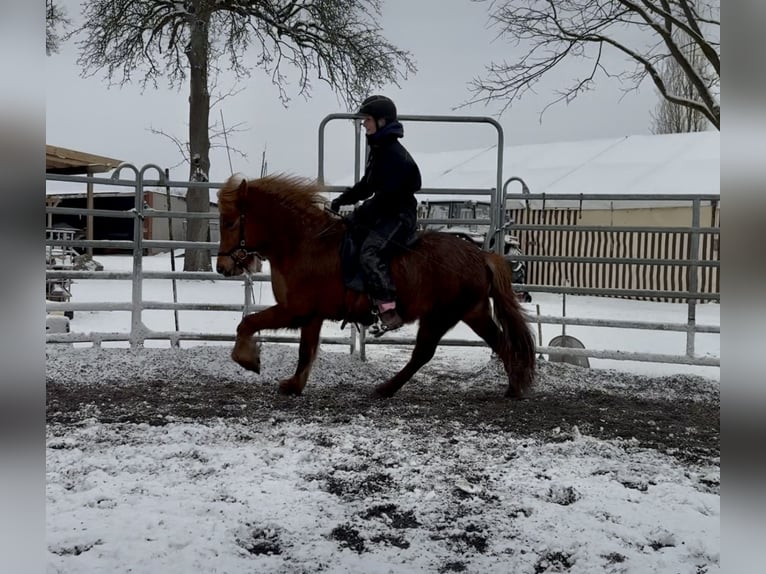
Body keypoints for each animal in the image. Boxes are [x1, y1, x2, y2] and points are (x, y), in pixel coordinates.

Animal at [215, 173, 536, 399]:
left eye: (230, 222)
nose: (222, 267)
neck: (303, 244)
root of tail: (480, 255)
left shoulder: (294, 310)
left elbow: (247, 323)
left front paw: (249, 360)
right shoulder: (312, 316)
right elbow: (305, 351)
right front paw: (294, 385)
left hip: (440, 316)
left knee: (423, 353)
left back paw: (385, 388)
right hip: (473, 312)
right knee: (501, 343)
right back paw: (514, 387)